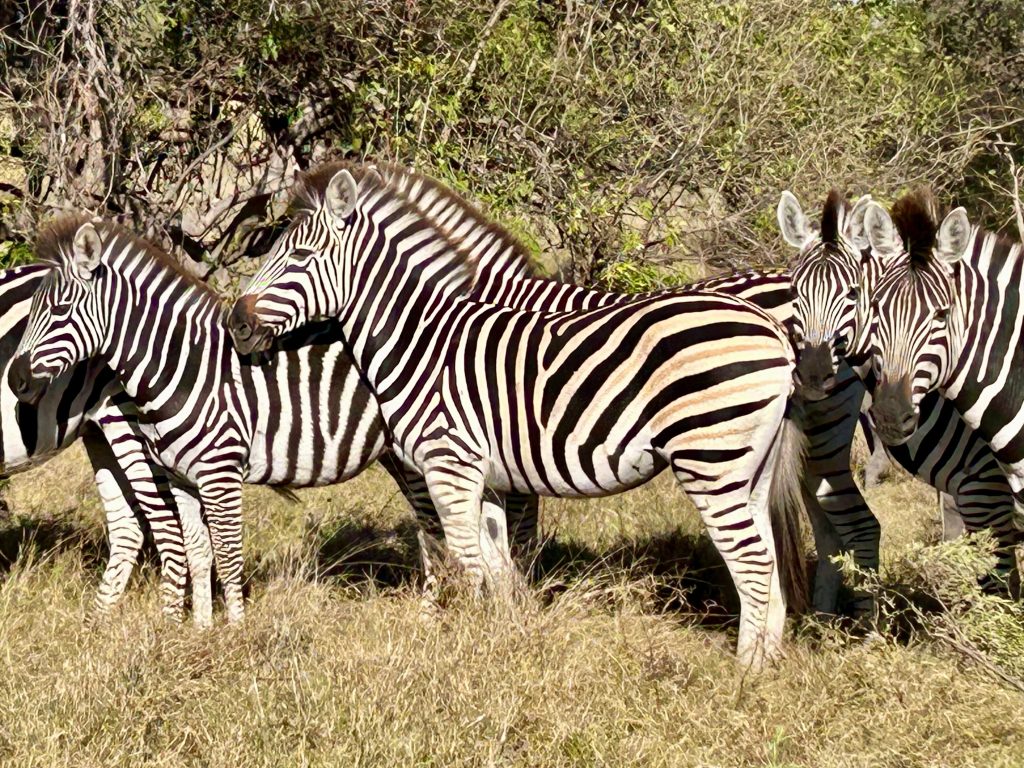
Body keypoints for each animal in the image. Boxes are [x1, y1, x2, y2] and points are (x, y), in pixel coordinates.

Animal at [0, 263, 202, 619]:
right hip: (99, 431)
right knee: (128, 526)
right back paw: (97, 621)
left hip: (134, 421)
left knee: (168, 523)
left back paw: (170, 621)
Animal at [226, 162, 810, 669]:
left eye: (300, 256)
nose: (236, 323)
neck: (424, 339)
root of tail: (772, 329)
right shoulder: (490, 476)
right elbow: (497, 564)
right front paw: (504, 638)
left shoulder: (448, 465)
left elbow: (467, 560)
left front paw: (464, 653)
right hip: (749, 468)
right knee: (769, 556)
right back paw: (769, 662)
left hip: (710, 459)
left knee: (753, 560)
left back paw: (744, 672)